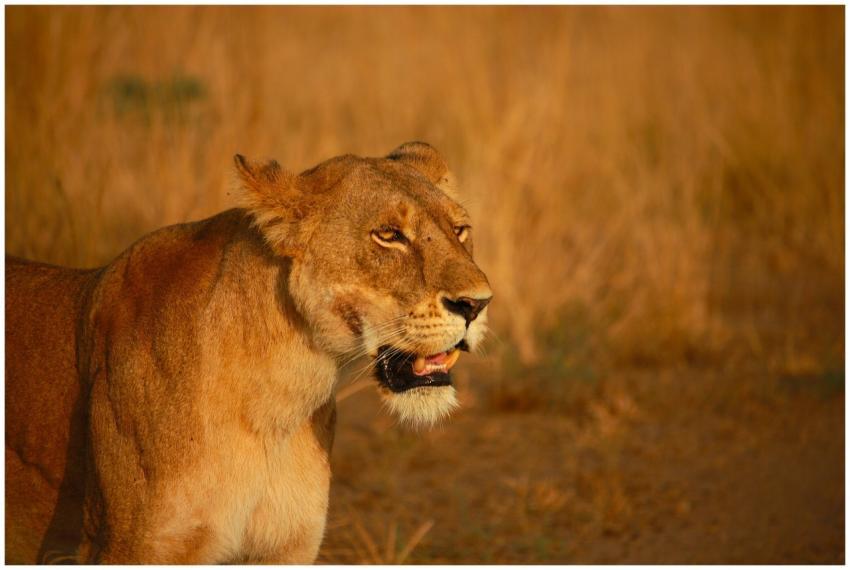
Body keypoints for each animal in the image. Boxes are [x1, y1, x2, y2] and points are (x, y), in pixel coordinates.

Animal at [5, 142, 492, 564]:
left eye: (460, 230)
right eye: (388, 235)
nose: (477, 304)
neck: (280, 400)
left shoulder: (285, 547)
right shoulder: (132, 546)